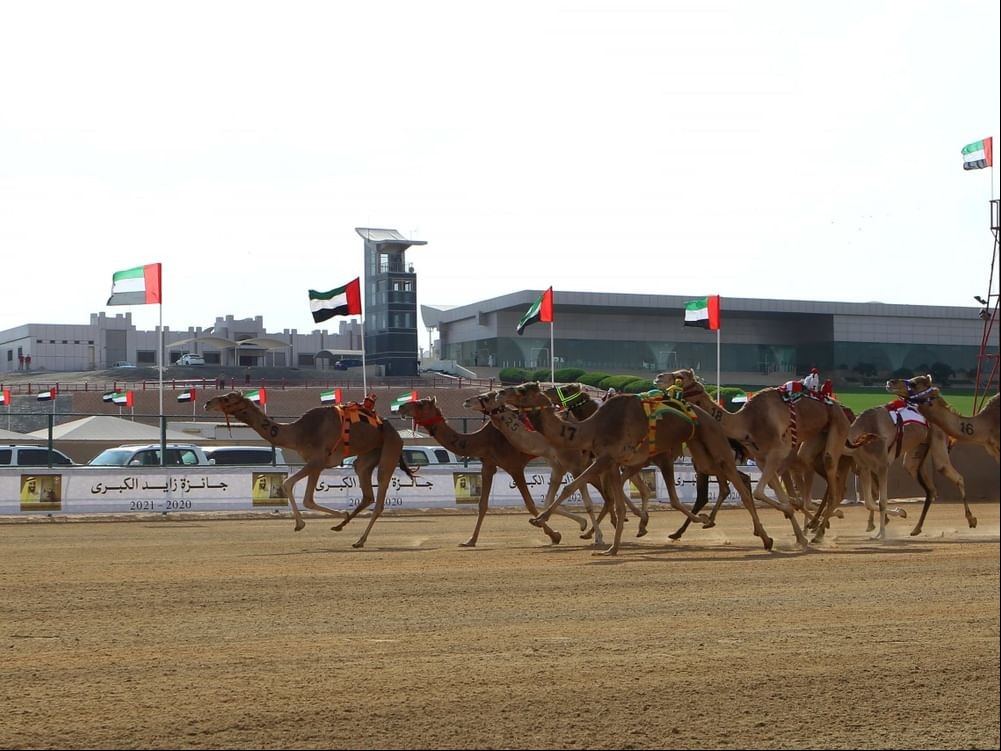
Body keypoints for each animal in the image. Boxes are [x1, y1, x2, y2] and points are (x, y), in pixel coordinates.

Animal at [204, 394, 414, 548]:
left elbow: (289, 484)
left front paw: (300, 524)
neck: (299, 433)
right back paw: (341, 527)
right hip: (367, 456)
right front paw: (341, 516)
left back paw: (360, 540)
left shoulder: (318, 460)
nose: (207, 403)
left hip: (389, 450)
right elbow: (308, 499)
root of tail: (397, 434)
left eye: (226, 399)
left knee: (379, 498)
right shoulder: (316, 464)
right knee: (367, 491)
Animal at [398, 394, 584, 548]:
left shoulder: (514, 466)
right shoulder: (488, 465)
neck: (484, 440)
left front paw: (554, 535)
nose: (401, 407)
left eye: (421, 404)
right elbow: (482, 504)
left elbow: (529, 504)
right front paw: (470, 540)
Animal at [848, 402, 964, 536]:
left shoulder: (882, 465)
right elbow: (869, 502)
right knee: (930, 488)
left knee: (948, 473)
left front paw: (882, 533)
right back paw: (916, 528)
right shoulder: (864, 467)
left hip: (937, 439)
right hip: (919, 450)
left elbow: (882, 501)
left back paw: (970, 519)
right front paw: (899, 513)